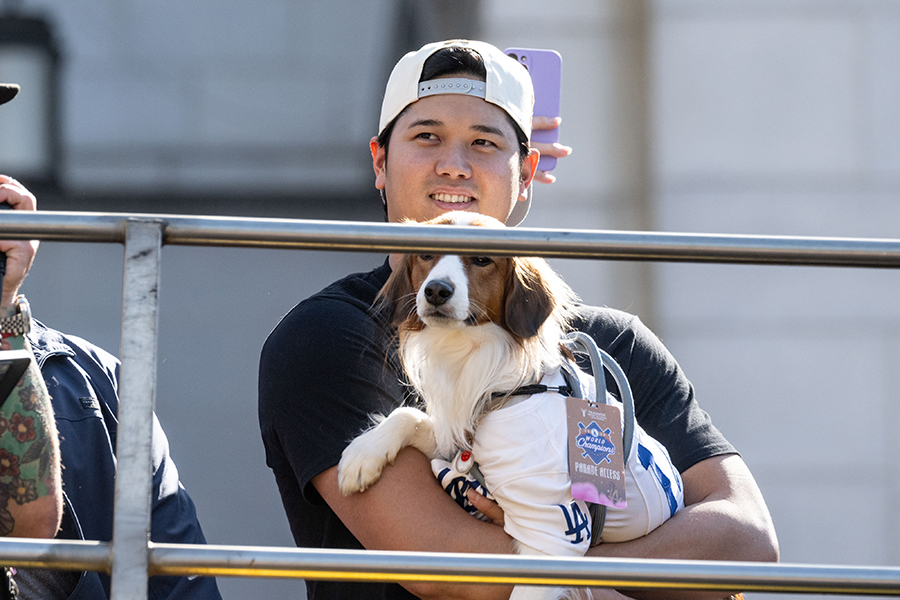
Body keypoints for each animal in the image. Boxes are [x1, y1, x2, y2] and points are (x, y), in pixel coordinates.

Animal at [338, 211, 684, 600]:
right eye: (426, 255)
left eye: (482, 259)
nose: (436, 290)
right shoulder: (457, 441)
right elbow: (409, 414)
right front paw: (362, 456)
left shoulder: (553, 533)